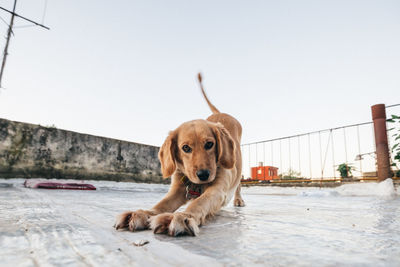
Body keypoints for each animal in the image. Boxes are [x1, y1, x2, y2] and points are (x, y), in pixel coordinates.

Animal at [114, 74, 245, 237]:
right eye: (186, 148)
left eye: (209, 144)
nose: (203, 175)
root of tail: (220, 113)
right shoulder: (177, 189)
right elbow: (161, 205)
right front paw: (143, 213)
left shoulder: (218, 190)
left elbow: (199, 202)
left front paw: (182, 217)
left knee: (238, 184)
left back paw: (238, 200)